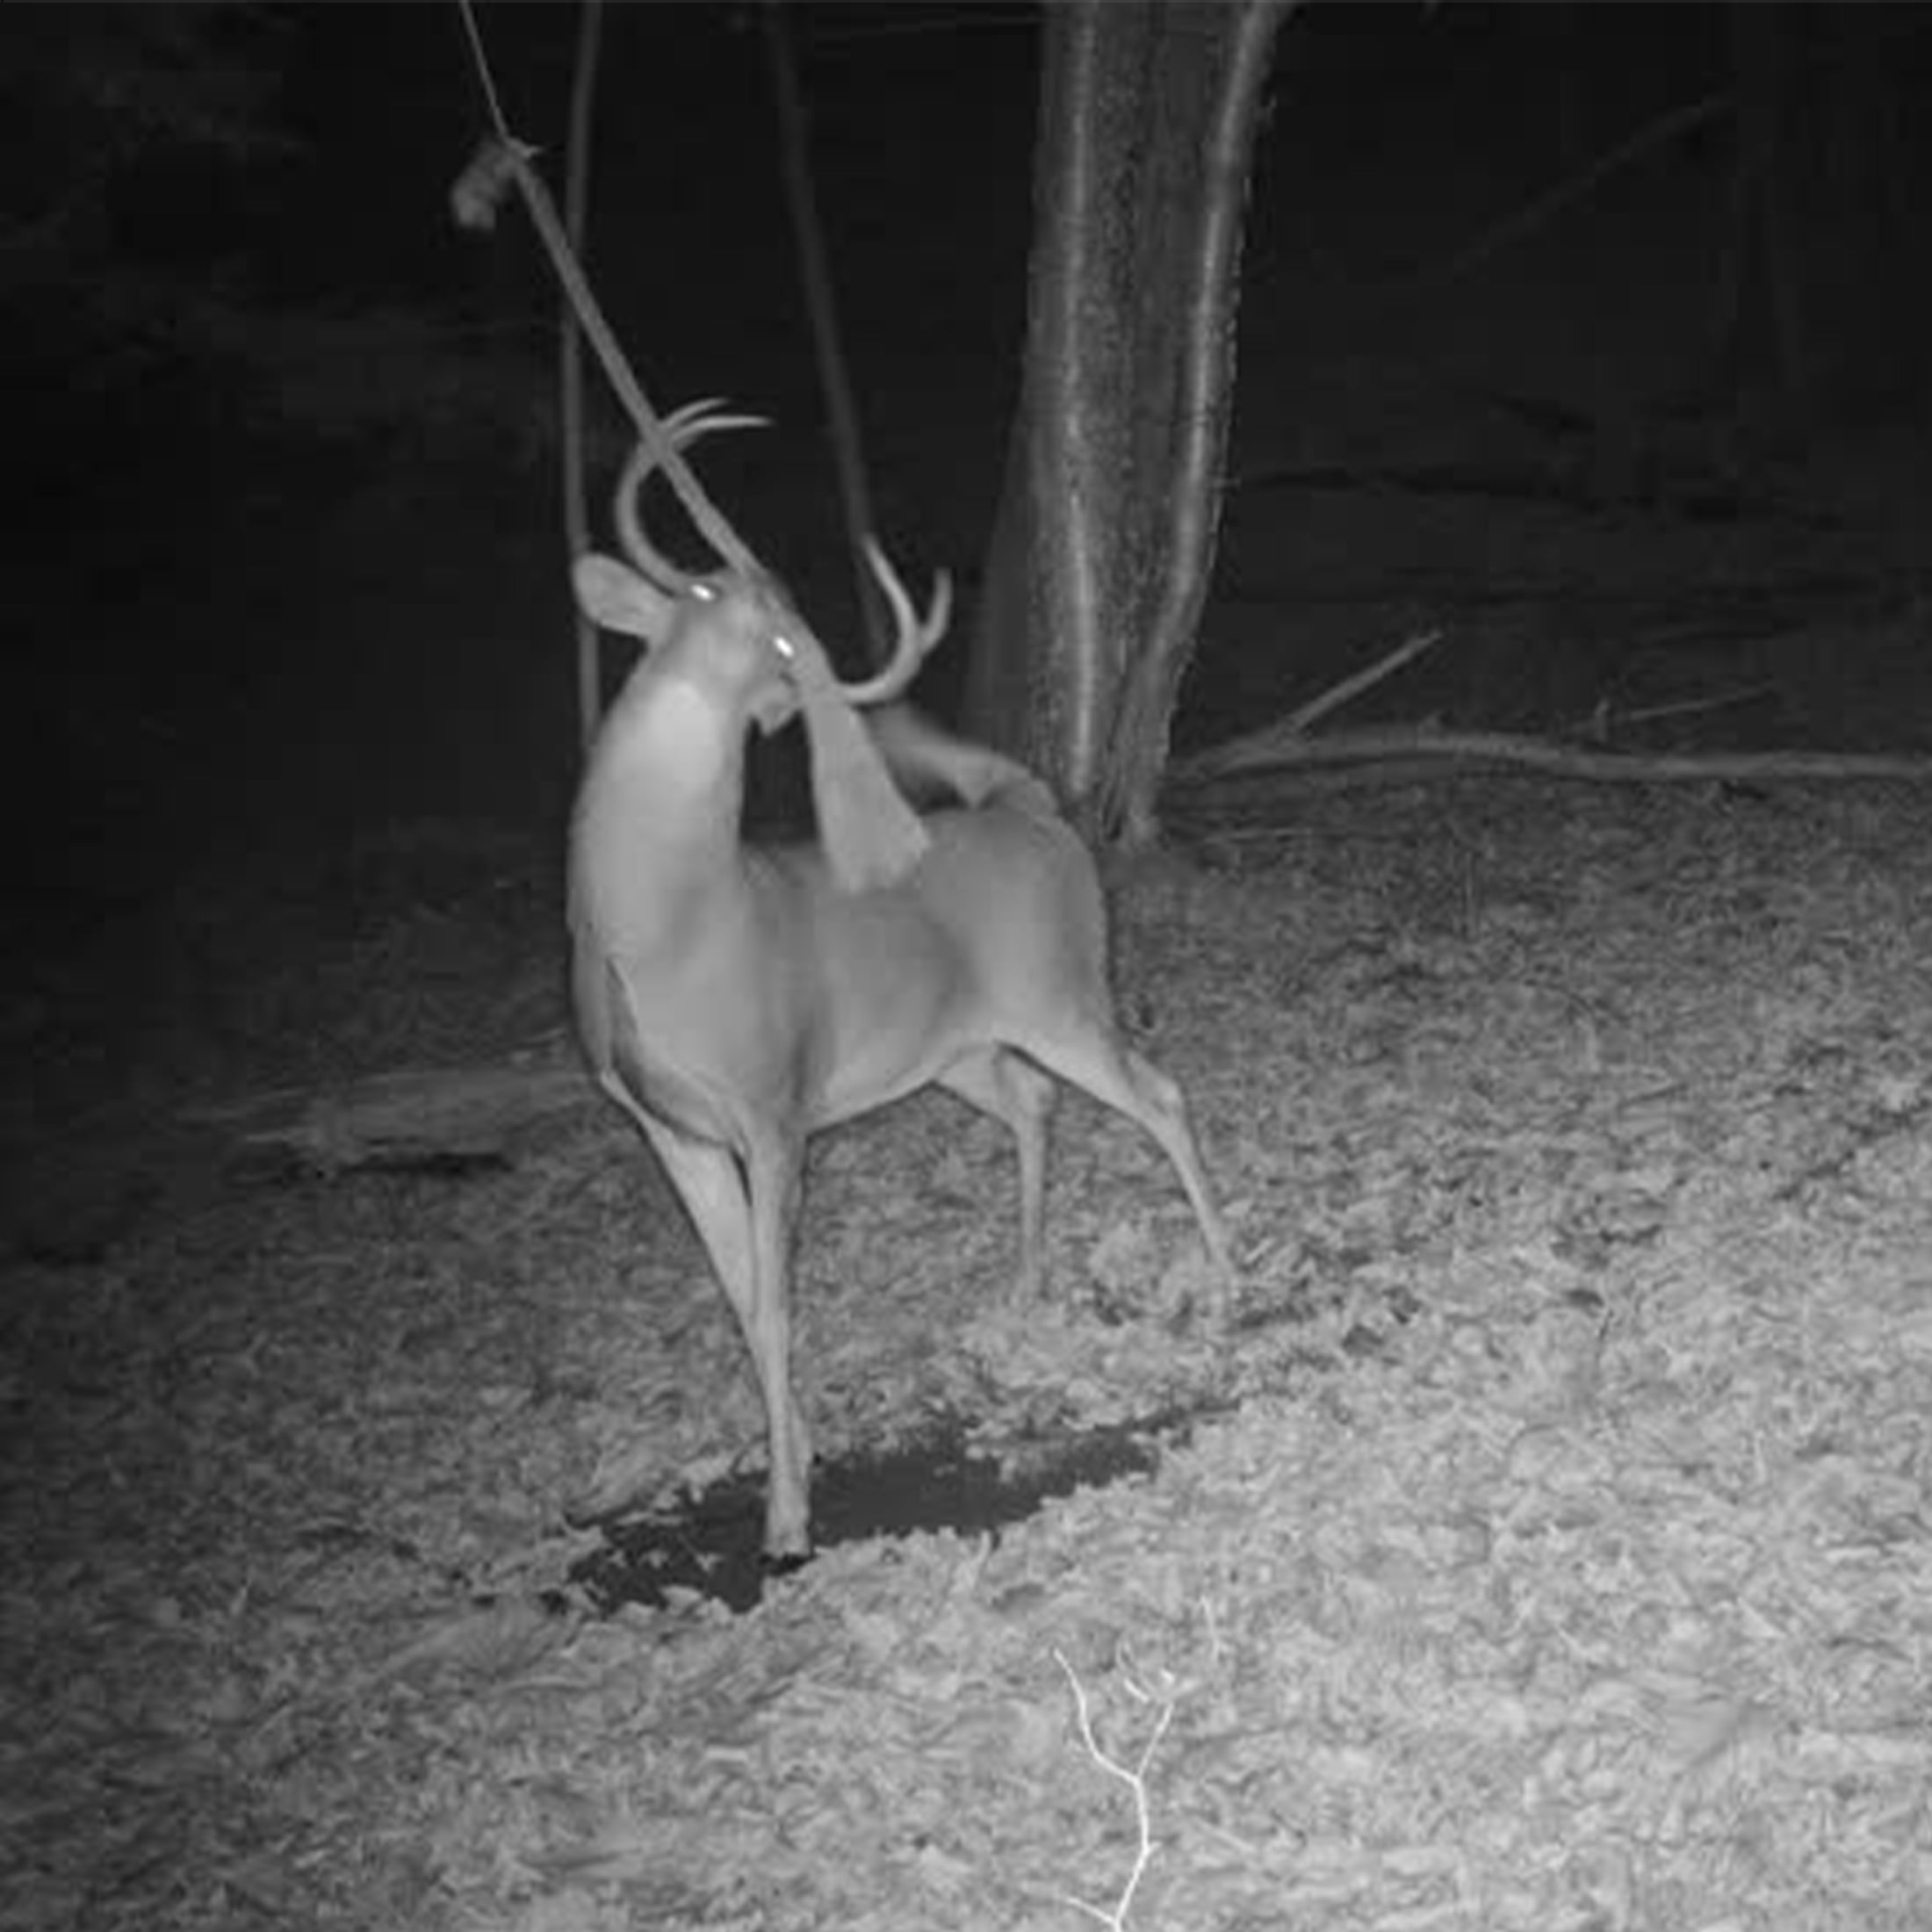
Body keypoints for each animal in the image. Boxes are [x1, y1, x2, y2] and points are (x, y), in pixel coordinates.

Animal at [568, 403, 1233, 1558]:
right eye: (695, 600)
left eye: (784, 639)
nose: (768, 615)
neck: (662, 928)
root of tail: (1032, 808)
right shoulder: (661, 1120)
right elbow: (740, 1297)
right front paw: (793, 1457)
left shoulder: (773, 1102)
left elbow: (776, 1300)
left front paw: (789, 1516)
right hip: (952, 1046)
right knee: (1032, 1099)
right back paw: (1025, 1284)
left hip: (1061, 990)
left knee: (1157, 1091)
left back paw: (1227, 1277)